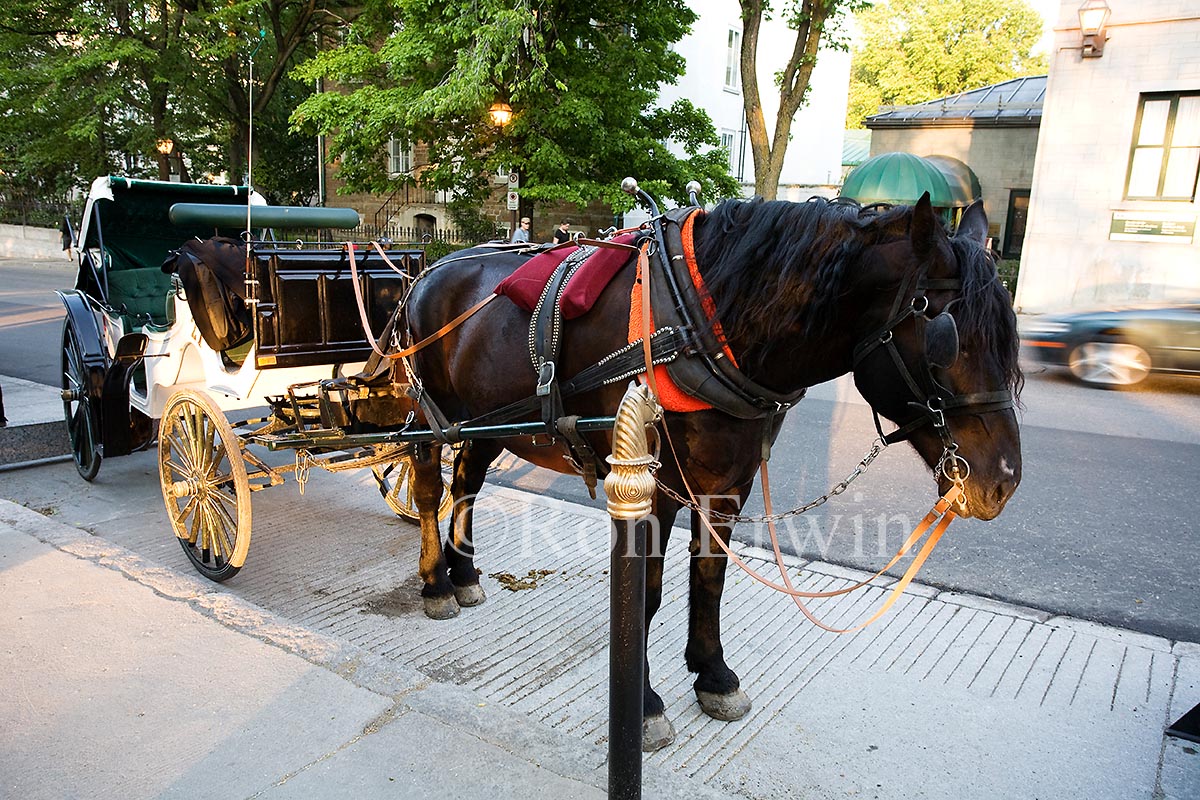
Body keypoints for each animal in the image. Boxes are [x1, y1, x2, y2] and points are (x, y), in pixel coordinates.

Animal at [393, 192, 1022, 750]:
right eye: (946, 339)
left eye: (1009, 338)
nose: (1003, 480)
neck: (703, 324)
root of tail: (429, 270)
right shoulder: (651, 488)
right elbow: (645, 595)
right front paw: (645, 704)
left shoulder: (726, 486)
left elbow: (710, 577)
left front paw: (713, 673)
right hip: (432, 416)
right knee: (429, 488)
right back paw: (436, 581)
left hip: (488, 423)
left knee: (468, 482)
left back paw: (464, 572)